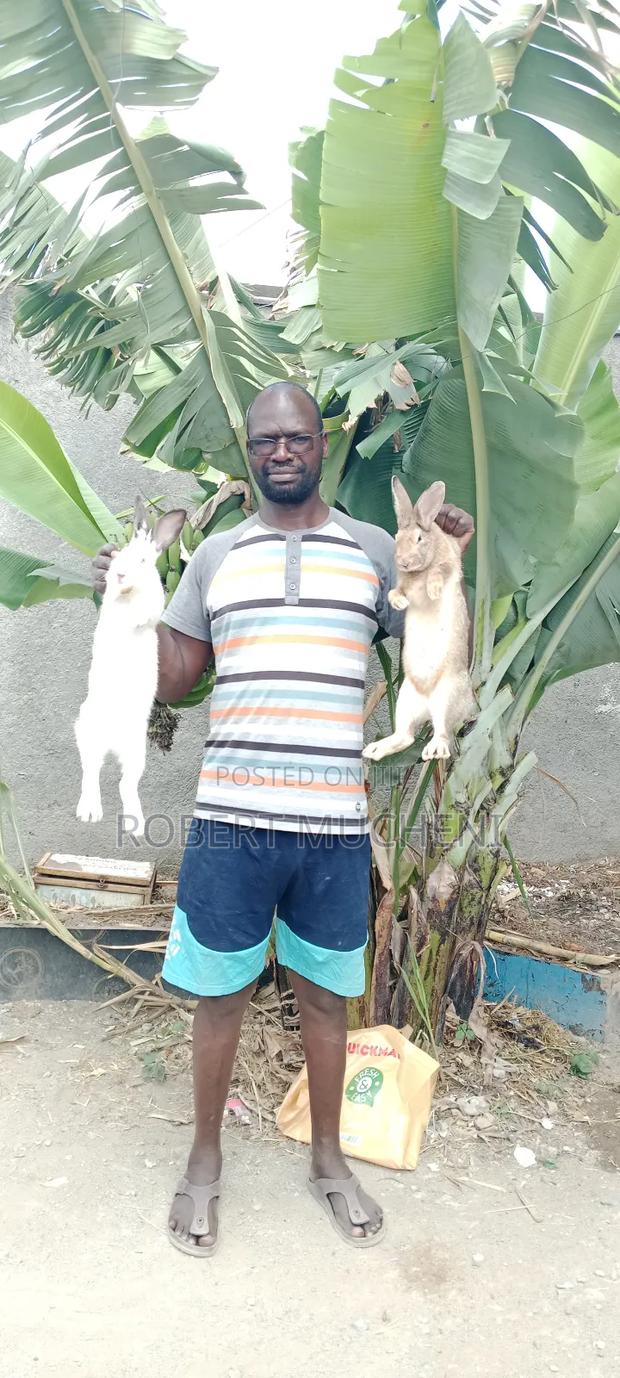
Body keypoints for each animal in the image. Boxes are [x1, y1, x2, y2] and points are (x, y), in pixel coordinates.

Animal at [74, 497, 186, 837]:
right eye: (117, 558)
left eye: (143, 560)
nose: (122, 575)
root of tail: (113, 740)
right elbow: (114, 605)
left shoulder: (153, 602)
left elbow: (146, 610)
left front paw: (135, 617)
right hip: (89, 734)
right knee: (91, 774)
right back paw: (90, 812)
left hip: (135, 752)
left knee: (125, 785)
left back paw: (134, 825)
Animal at [364, 477, 476, 764]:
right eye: (396, 537)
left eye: (419, 538)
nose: (402, 562)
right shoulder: (402, 583)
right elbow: (396, 591)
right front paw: (399, 603)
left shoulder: (447, 563)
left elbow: (439, 572)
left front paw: (433, 591)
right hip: (405, 699)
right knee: (405, 736)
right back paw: (373, 750)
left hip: (445, 697)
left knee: (442, 733)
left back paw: (433, 750)